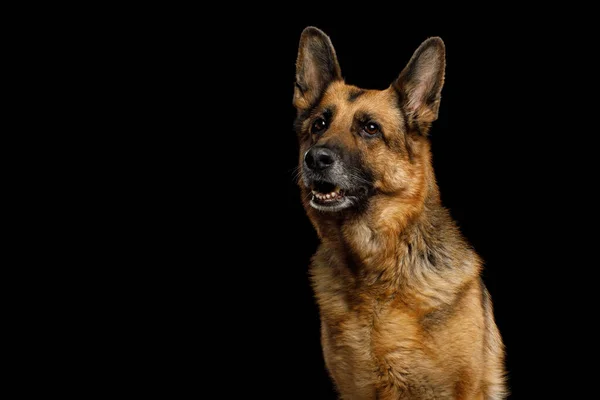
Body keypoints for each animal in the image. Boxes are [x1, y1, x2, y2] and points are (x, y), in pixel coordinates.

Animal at [292, 26, 504, 398]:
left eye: (370, 128)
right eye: (319, 124)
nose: (314, 158)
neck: (376, 272)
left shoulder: (466, 390)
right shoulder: (356, 389)